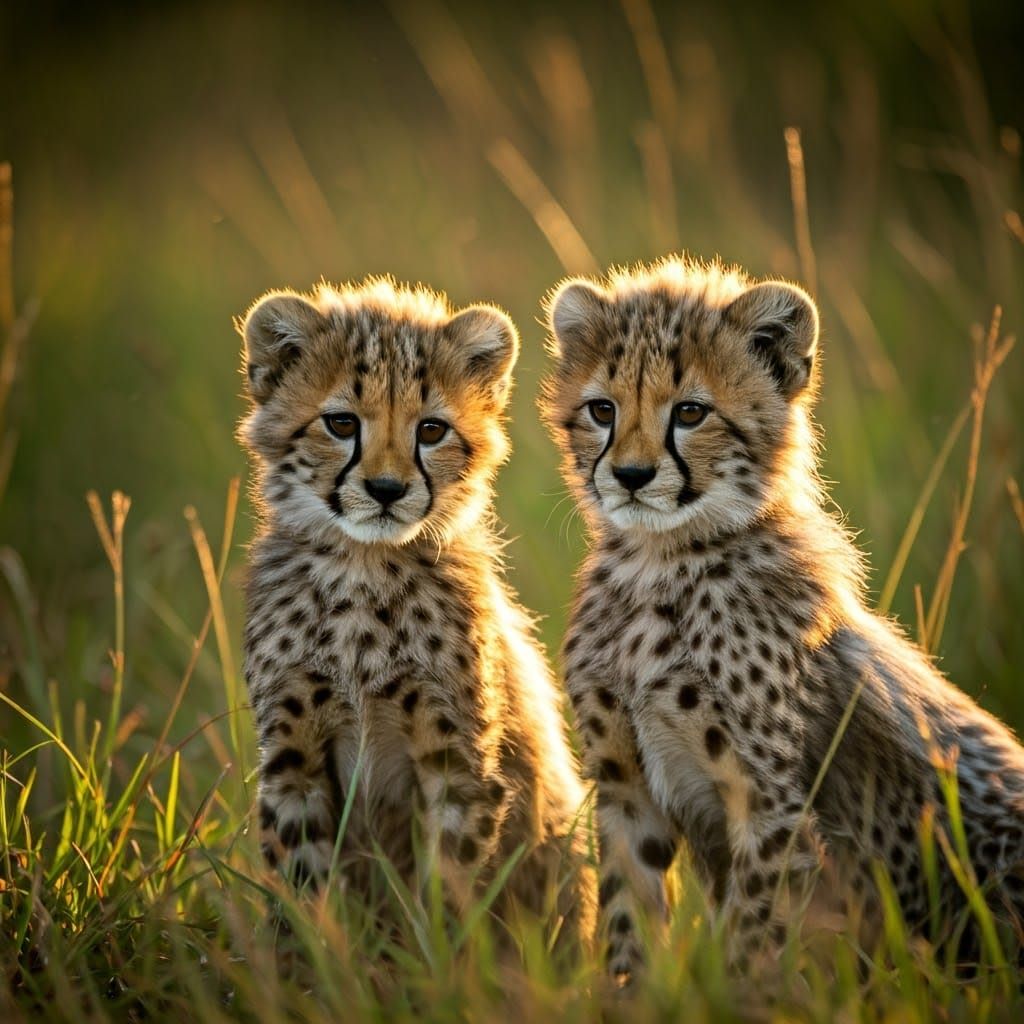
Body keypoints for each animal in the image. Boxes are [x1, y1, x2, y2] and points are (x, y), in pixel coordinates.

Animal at [238, 278, 595, 952]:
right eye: (341, 423)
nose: (386, 490)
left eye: (431, 430)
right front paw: (319, 966)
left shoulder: (455, 761)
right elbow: (306, 891)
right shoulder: (292, 758)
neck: (361, 567)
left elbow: (451, 884)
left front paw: (442, 965)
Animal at [539, 255, 1024, 981]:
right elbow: (629, 924)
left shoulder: (769, 807)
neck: (660, 565)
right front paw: (624, 994)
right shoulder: (626, 792)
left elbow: (750, 945)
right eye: (602, 409)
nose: (629, 475)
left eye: (690, 412)